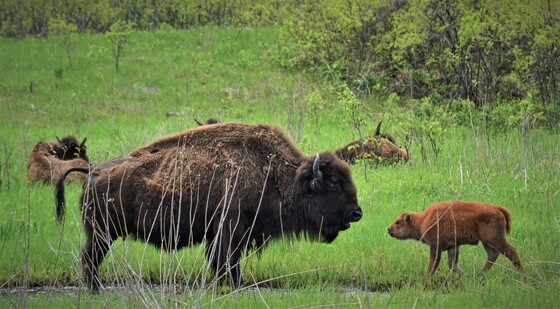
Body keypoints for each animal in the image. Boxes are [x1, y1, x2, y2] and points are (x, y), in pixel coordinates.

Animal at [55, 122, 364, 288]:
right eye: (333, 184)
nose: (356, 212)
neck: (272, 173)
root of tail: (92, 171)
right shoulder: (229, 231)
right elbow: (225, 261)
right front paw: (232, 284)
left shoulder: (233, 234)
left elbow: (229, 261)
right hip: (102, 233)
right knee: (89, 259)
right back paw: (96, 290)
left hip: (103, 233)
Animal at [388, 201, 524, 276]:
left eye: (398, 222)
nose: (389, 229)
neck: (423, 220)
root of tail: (496, 208)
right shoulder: (453, 246)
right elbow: (452, 264)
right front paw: (465, 274)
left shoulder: (435, 247)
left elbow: (433, 265)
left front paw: (427, 279)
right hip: (487, 242)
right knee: (492, 255)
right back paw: (480, 274)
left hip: (494, 239)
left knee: (511, 251)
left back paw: (522, 273)